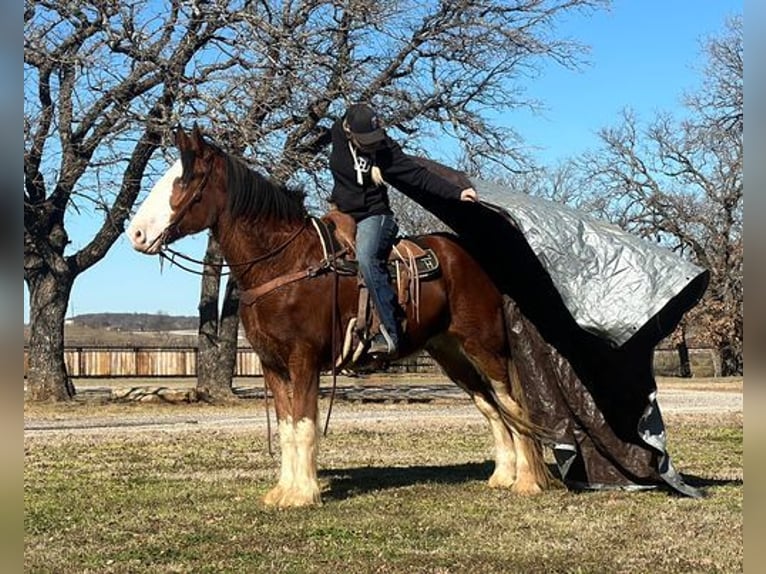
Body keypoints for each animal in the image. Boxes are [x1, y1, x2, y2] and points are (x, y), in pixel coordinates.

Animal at [127, 126, 560, 508]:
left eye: (185, 180)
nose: (136, 234)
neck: (285, 262)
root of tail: (477, 257)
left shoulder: (304, 359)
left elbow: (304, 425)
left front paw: (303, 495)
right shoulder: (272, 364)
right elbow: (287, 428)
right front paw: (283, 492)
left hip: (485, 345)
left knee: (513, 404)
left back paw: (527, 481)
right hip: (450, 352)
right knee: (490, 405)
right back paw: (502, 476)